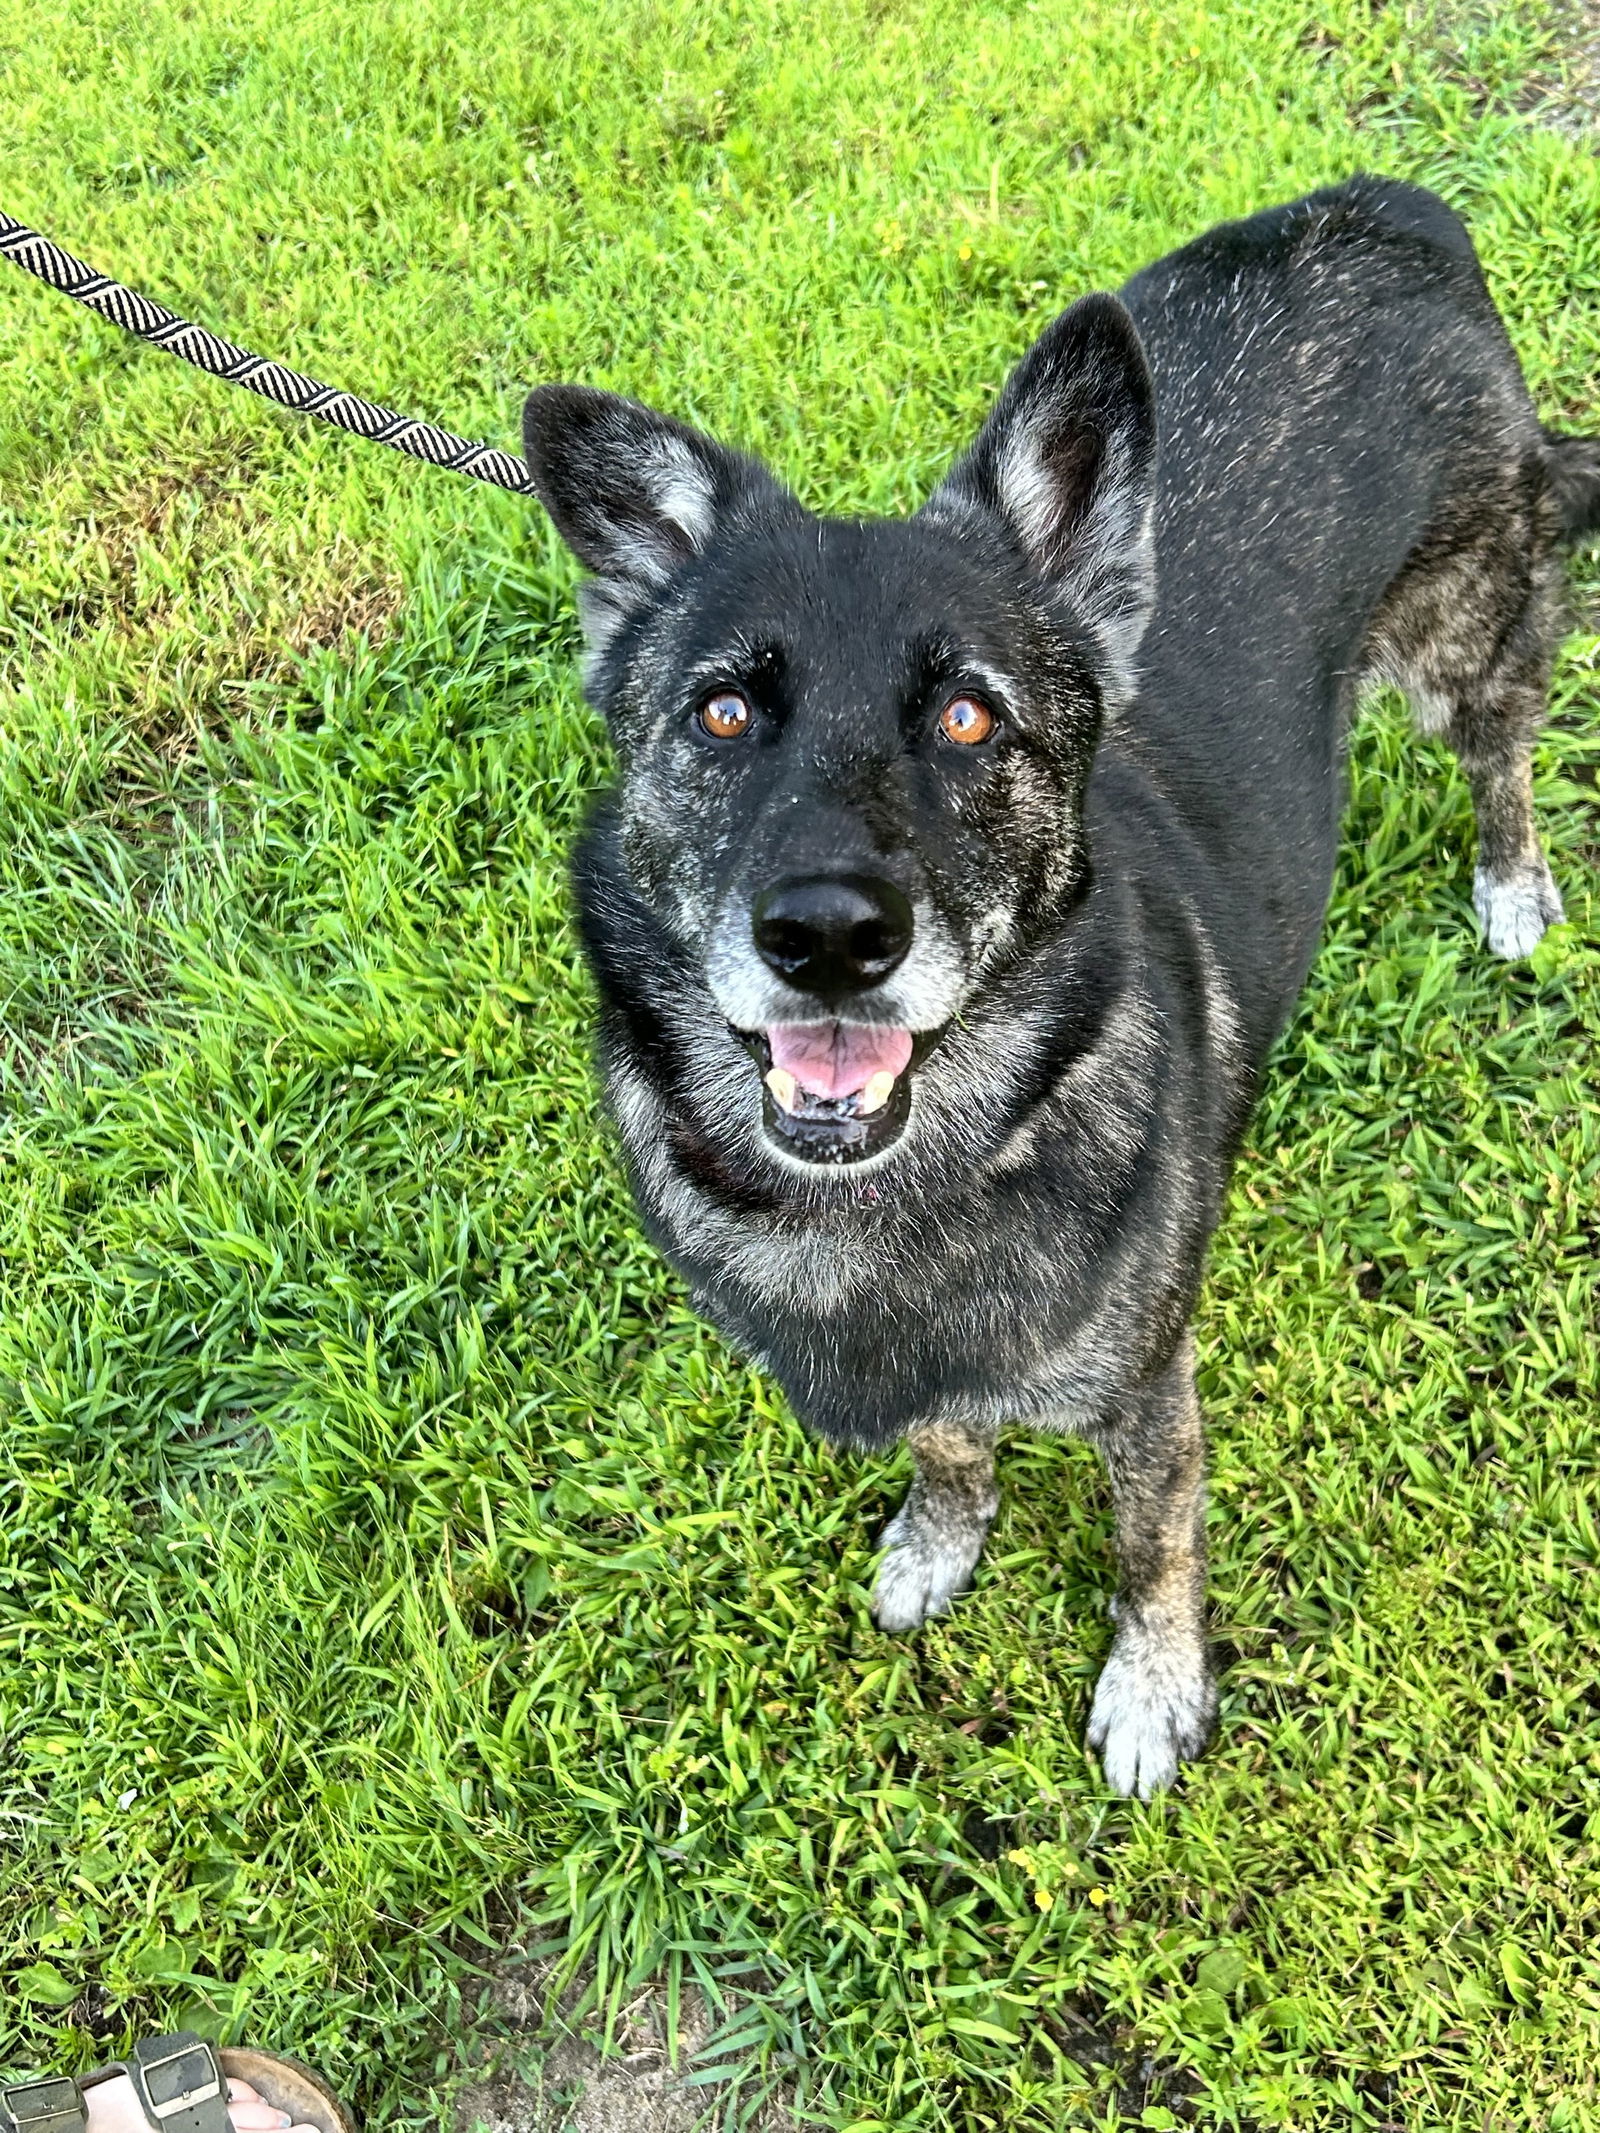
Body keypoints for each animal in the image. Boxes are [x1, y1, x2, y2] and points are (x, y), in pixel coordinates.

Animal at [520, 174, 1595, 1791]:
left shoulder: (1150, 1393)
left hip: (1464, 644)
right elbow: (951, 1443)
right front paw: (939, 1541)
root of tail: (1392, 204)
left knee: (1502, 751)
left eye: (970, 718)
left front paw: (1153, 1690)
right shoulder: (935, 1381)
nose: (827, 938)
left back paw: (1513, 884)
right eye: (720, 714)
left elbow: (1157, 1548)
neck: (899, 1193)